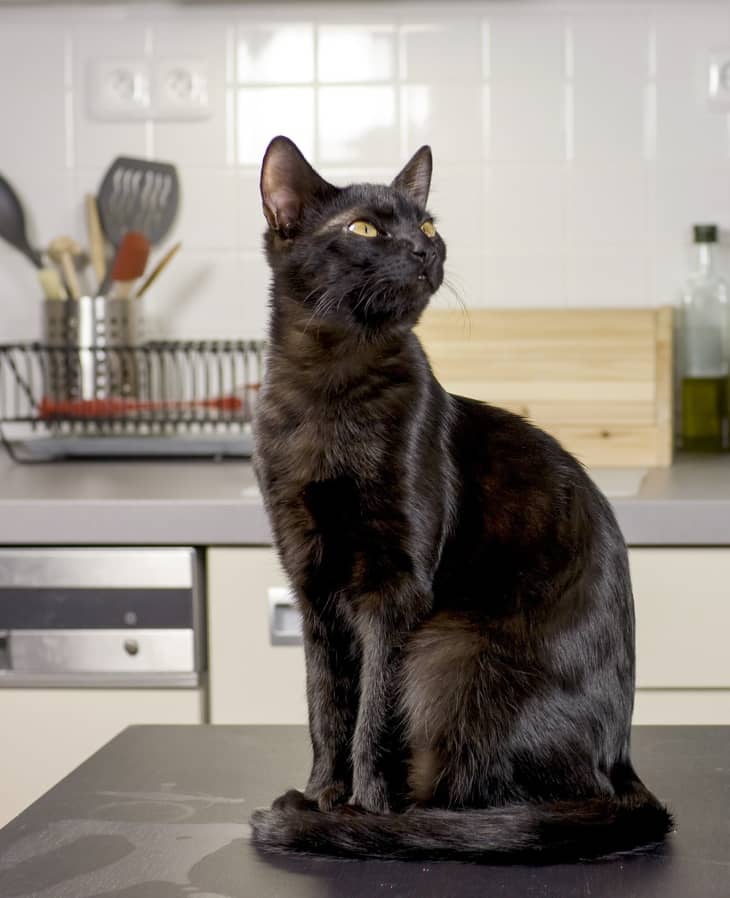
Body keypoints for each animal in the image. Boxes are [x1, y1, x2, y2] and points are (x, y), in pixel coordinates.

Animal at [247, 135, 668, 860]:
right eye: (364, 229)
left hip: (447, 655)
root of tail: (621, 764)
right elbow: (325, 703)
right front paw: (323, 792)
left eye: (427, 226)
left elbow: (373, 713)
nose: (424, 251)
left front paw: (361, 810)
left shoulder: (395, 591)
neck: (331, 387)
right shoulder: (312, 584)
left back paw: (413, 823)